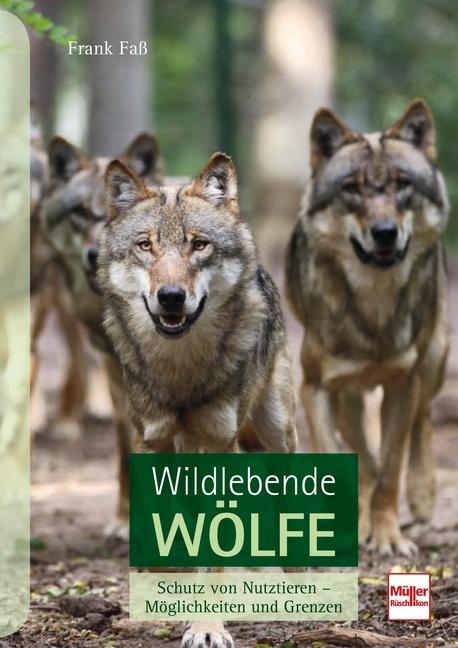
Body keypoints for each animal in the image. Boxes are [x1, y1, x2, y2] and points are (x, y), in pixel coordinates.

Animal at [98, 152, 297, 647]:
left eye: (199, 245)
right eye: (145, 246)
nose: (171, 297)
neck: (182, 372)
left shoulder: (218, 445)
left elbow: (214, 548)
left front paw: (207, 625)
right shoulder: (153, 443)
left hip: (276, 432)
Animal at [286, 99, 449, 556]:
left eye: (402, 185)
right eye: (352, 189)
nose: (385, 233)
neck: (373, 311)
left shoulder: (402, 384)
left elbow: (390, 470)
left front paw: (389, 536)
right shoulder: (316, 388)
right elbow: (347, 462)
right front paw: (358, 527)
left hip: (433, 360)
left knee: (423, 417)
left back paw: (422, 495)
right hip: (347, 397)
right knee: (359, 446)